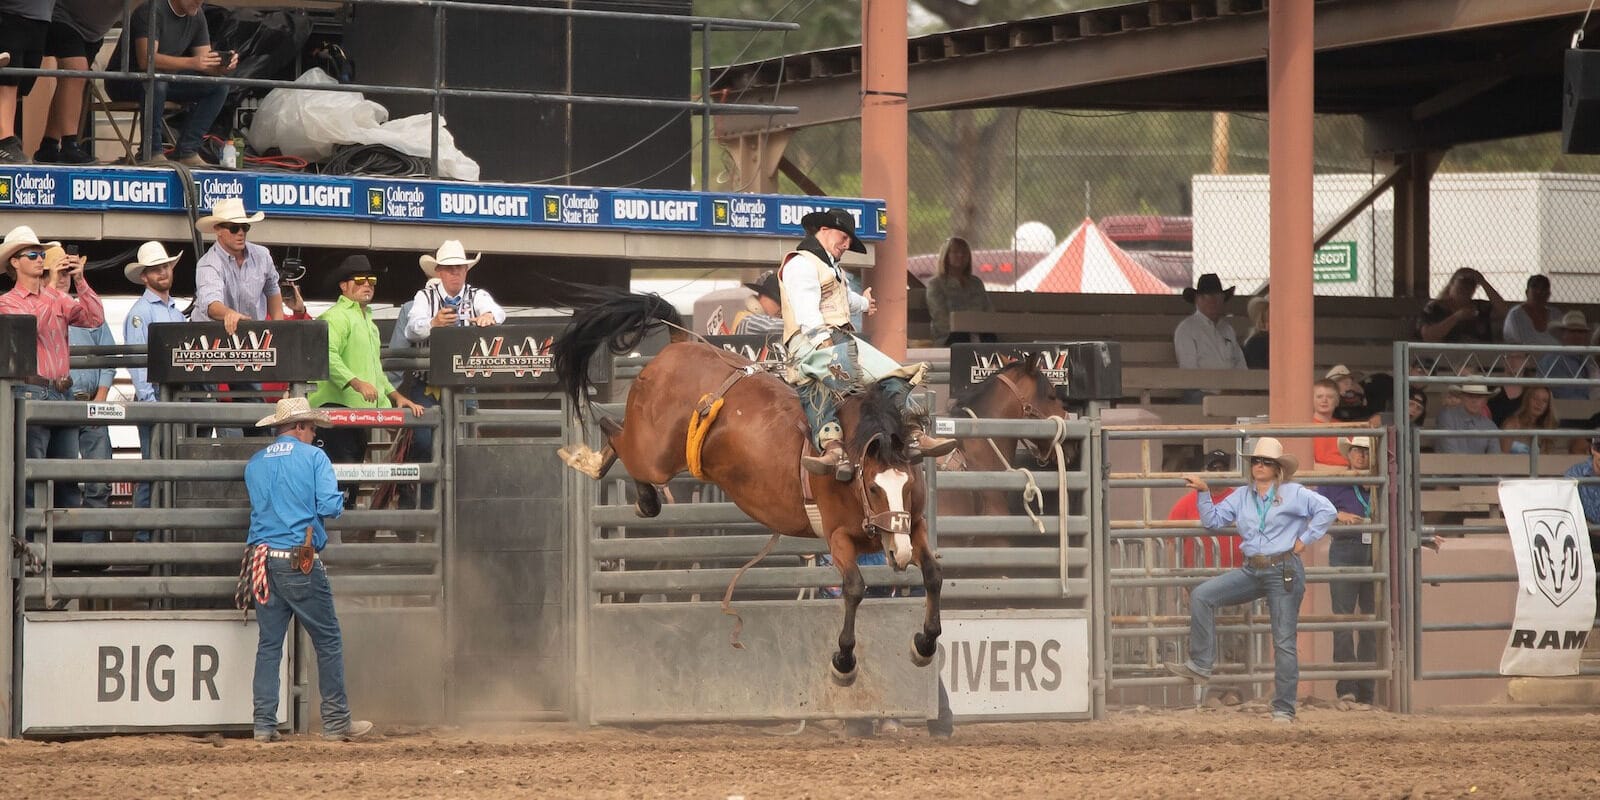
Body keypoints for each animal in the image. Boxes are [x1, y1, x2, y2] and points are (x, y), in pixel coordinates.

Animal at [556, 291, 940, 684]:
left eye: (908, 485)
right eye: (874, 488)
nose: (899, 553)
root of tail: (678, 345)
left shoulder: (916, 524)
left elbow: (933, 575)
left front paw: (925, 645)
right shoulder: (837, 536)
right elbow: (854, 588)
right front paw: (844, 662)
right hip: (654, 456)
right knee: (613, 432)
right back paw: (604, 471)